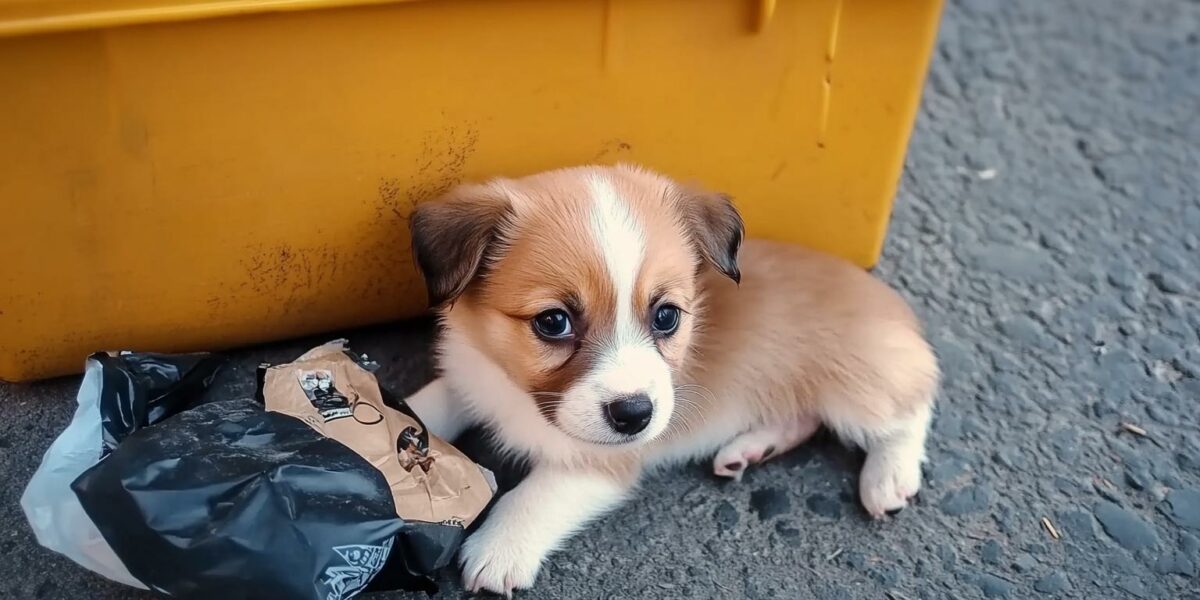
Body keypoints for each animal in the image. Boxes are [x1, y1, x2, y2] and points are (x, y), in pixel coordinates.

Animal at [403, 164, 936, 595]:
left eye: (666, 316)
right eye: (553, 322)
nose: (635, 416)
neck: (516, 396)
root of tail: (888, 298)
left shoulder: (601, 460)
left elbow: (534, 495)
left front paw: (500, 548)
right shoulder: (470, 374)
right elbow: (426, 406)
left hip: (857, 386)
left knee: (911, 407)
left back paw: (889, 476)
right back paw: (749, 449)